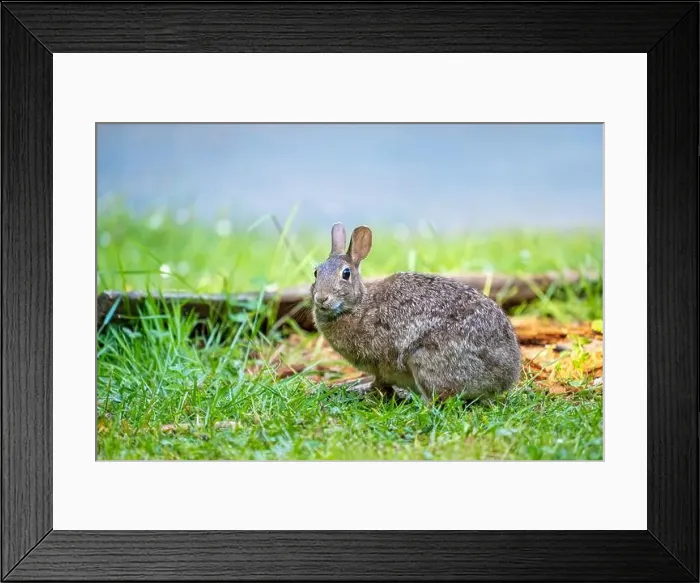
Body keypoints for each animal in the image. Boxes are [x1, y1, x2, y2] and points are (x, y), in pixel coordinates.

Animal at [310, 222, 522, 405]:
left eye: (345, 274)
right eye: (316, 272)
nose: (321, 298)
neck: (357, 305)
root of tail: (504, 377)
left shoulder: (380, 365)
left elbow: (380, 382)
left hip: (425, 362)